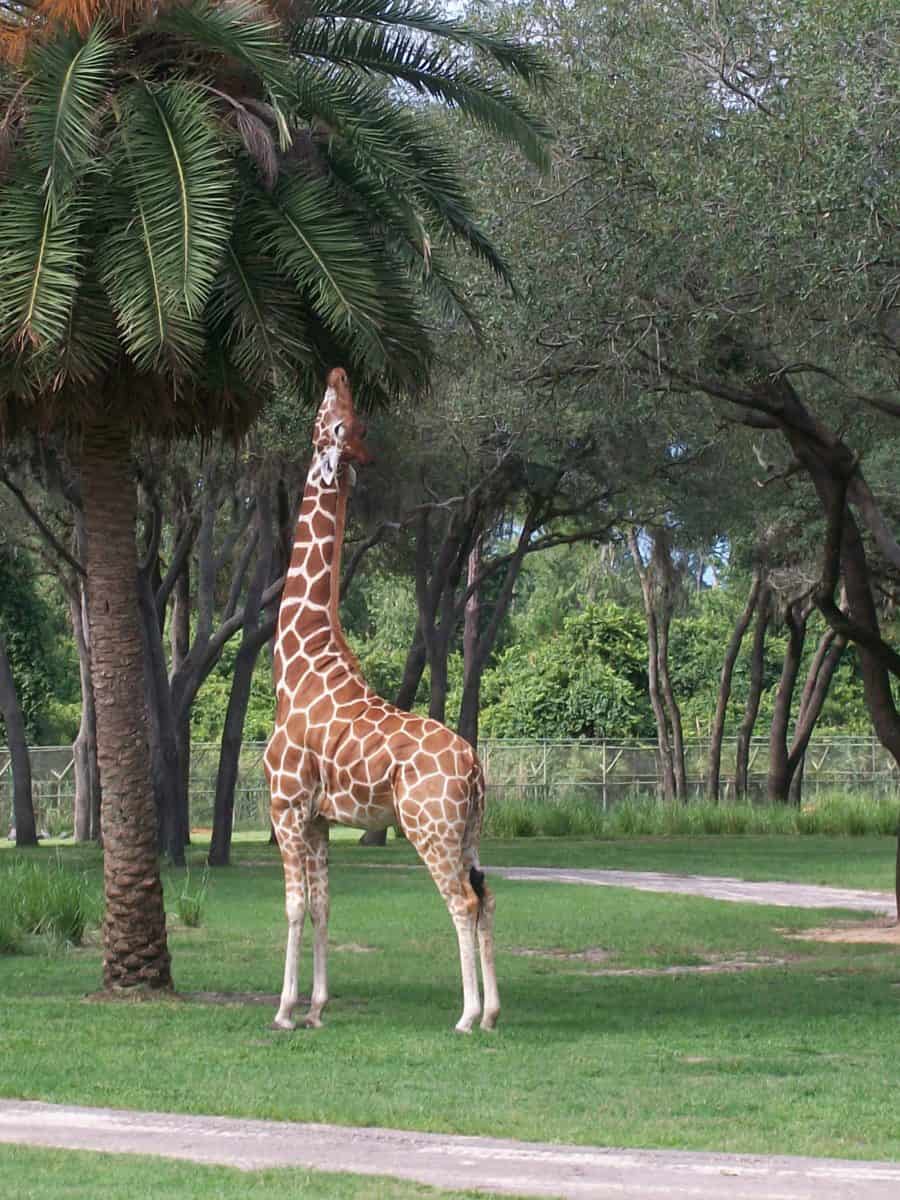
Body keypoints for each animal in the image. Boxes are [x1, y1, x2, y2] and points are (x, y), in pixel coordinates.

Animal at [264, 368, 499, 1034]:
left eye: (336, 418)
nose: (336, 372)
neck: (299, 662)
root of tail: (474, 768)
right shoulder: (319, 818)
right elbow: (324, 905)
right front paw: (318, 1008)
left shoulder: (285, 805)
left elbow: (294, 906)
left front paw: (284, 1011)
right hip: (468, 828)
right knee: (487, 894)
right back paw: (493, 1013)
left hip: (429, 826)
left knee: (462, 900)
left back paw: (468, 1015)